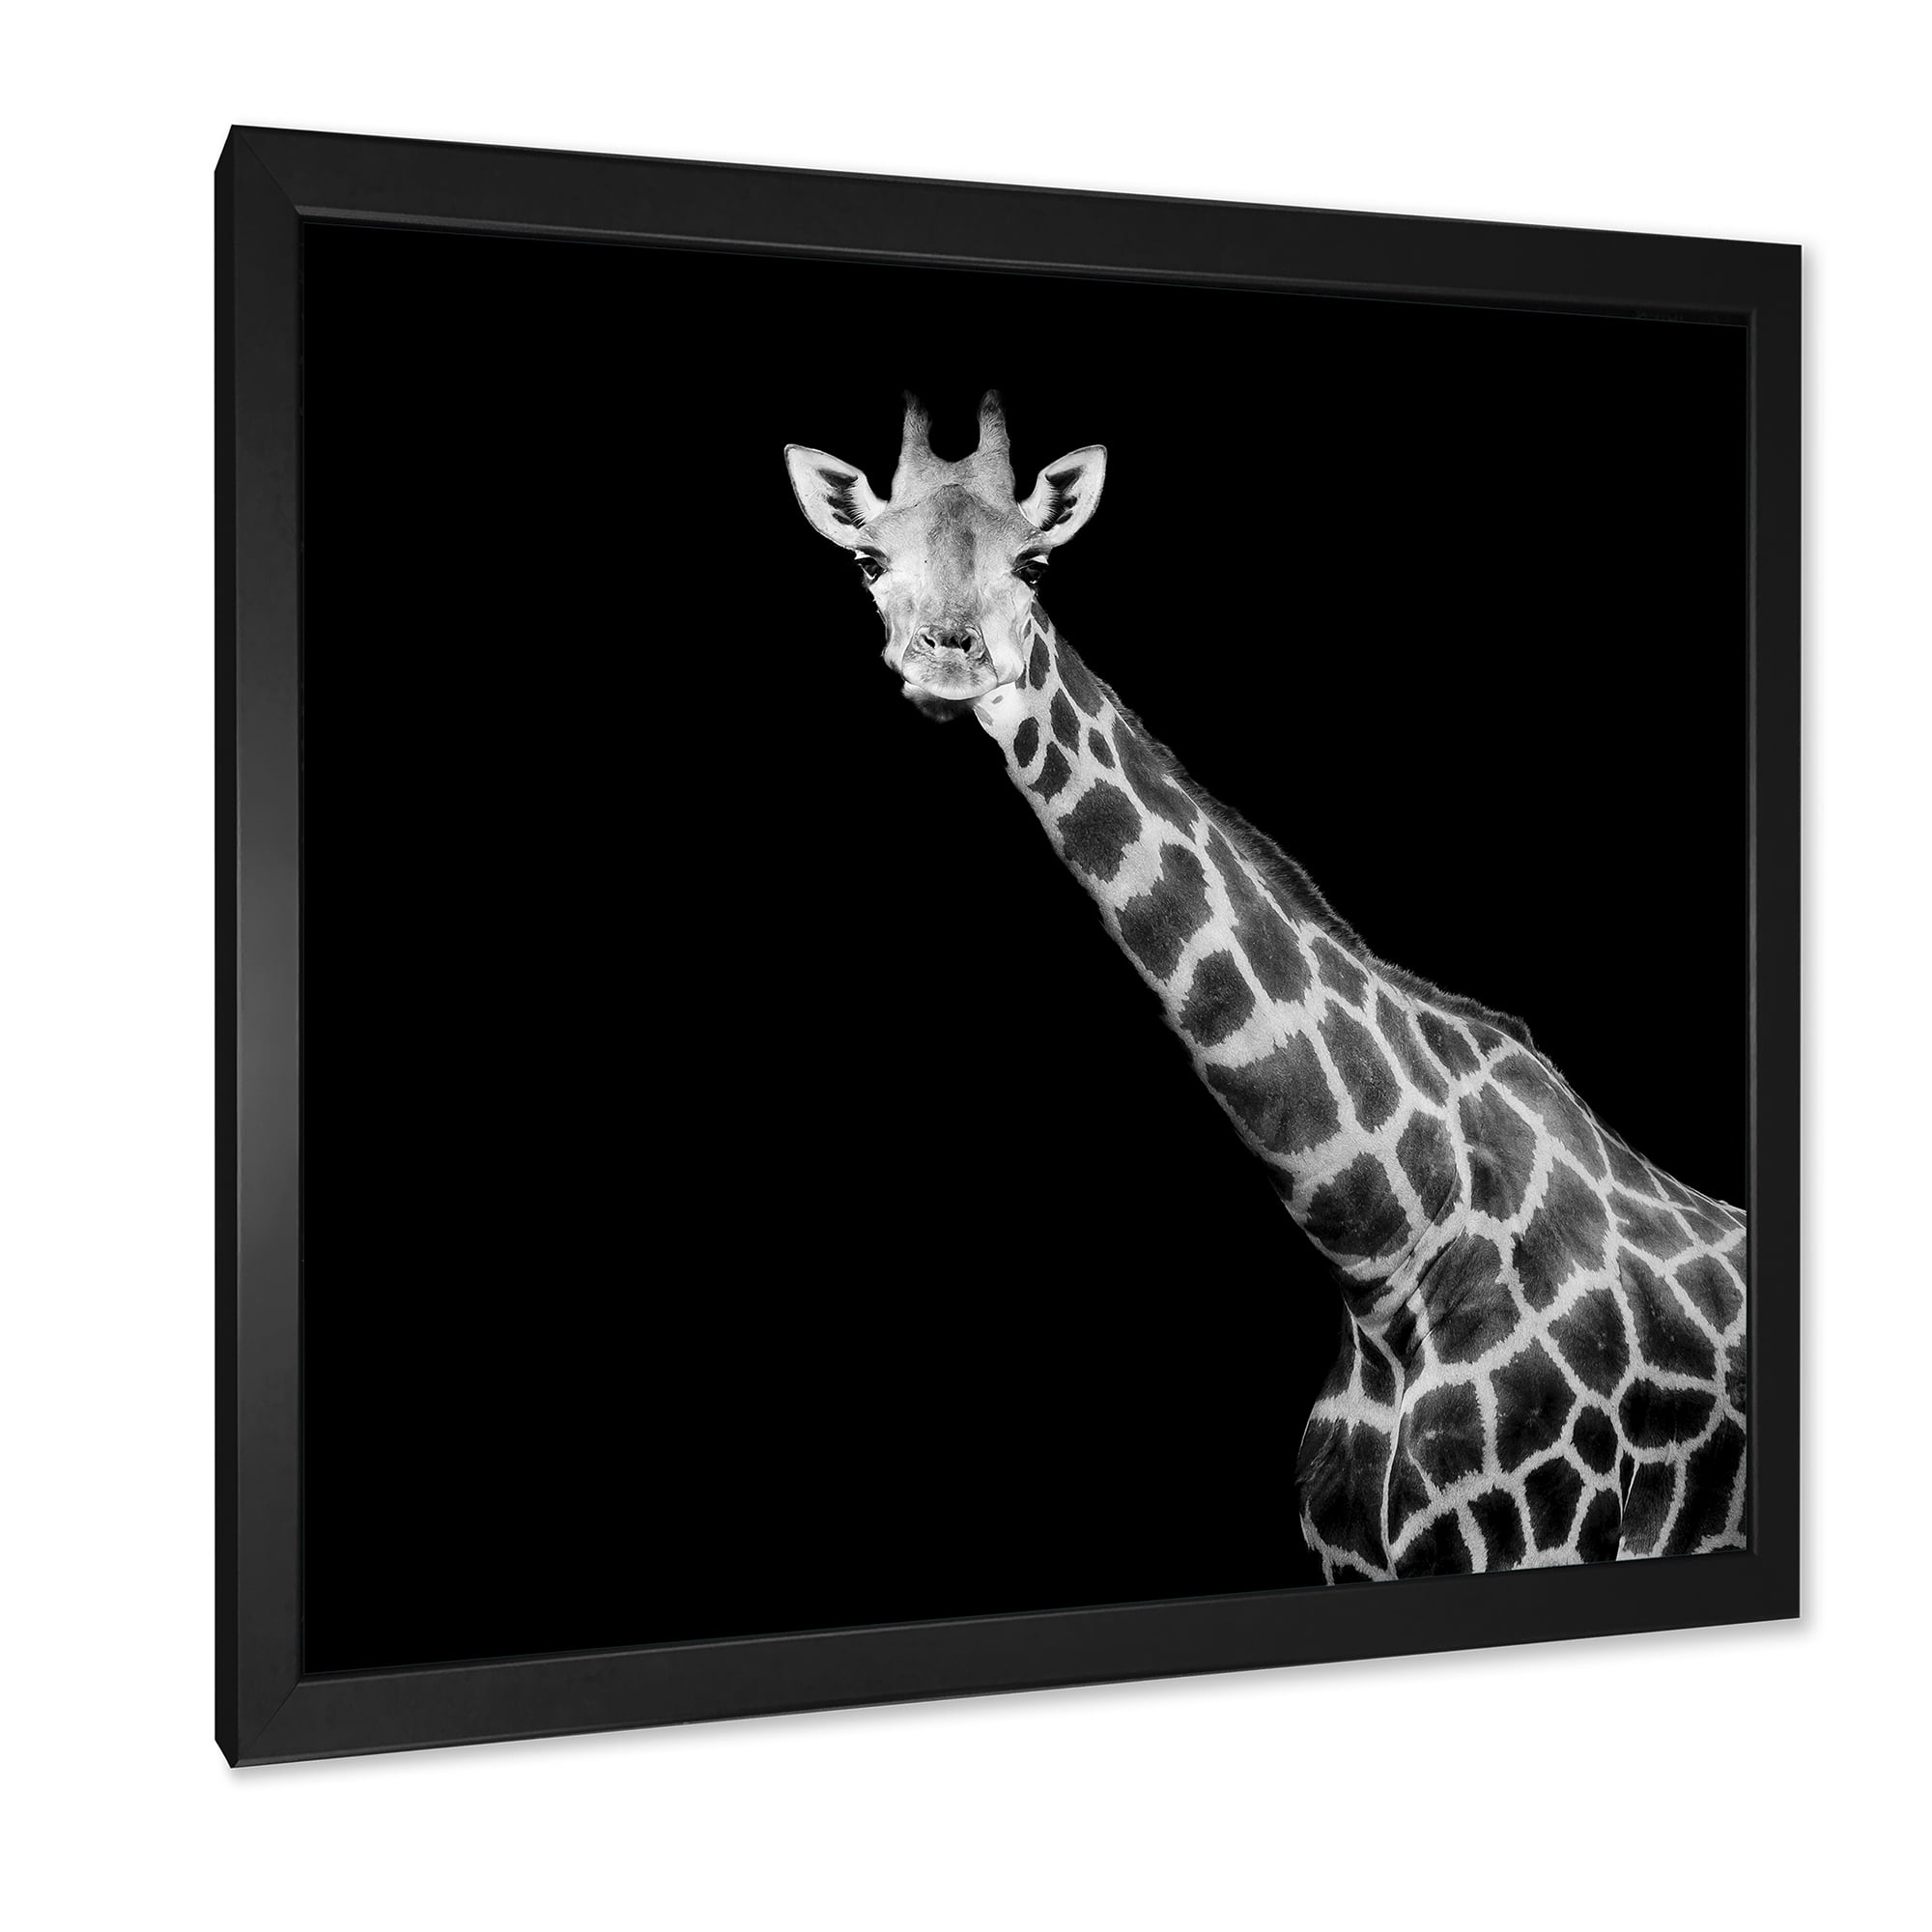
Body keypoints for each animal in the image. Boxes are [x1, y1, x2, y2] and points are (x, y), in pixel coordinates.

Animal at [783, 394, 1748, 1580]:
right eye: (868, 560)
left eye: (1037, 562)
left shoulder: (1548, 1537)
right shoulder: (1349, 1559)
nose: (951, 660)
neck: (1385, 1251)